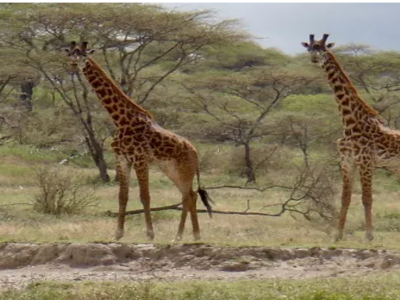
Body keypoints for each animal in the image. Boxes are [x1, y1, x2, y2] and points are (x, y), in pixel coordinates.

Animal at [63, 40, 212, 241]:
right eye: (70, 54)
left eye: (84, 55)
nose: (72, 66)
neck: (121, 120)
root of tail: (195, 152)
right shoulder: (122, 159)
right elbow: (122, 197)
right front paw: (118, 234)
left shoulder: (140, 159)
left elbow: (145, 196)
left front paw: (150, 234)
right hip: (171, 169)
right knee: (189, 195)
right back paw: (186, 236)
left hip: (184, 170)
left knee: (189, 196)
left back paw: (187, 235)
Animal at [302, 33, 400, 241]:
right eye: (309, 48)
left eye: (323, 48)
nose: (314, 58)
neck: (349, 122)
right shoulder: (347, 160)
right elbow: (345, 198)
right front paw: (338, 234)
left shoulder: (366, 161)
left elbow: (366, 198)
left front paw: (369, 235)